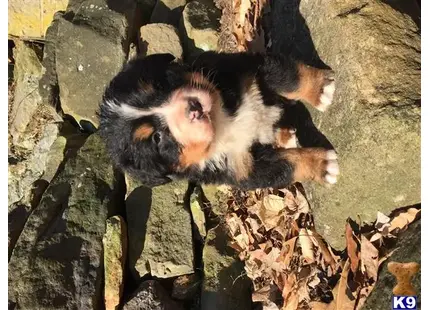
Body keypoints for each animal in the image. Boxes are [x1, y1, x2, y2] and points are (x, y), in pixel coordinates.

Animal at [97, 51, 340, 189]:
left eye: (159, 86)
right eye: (157, 138)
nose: (194, 108)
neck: (221, 119)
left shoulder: (246, 69)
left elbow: (286, 77)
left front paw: (320, 88)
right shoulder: (243, 169)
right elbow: (289, 164)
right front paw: (322, 165)